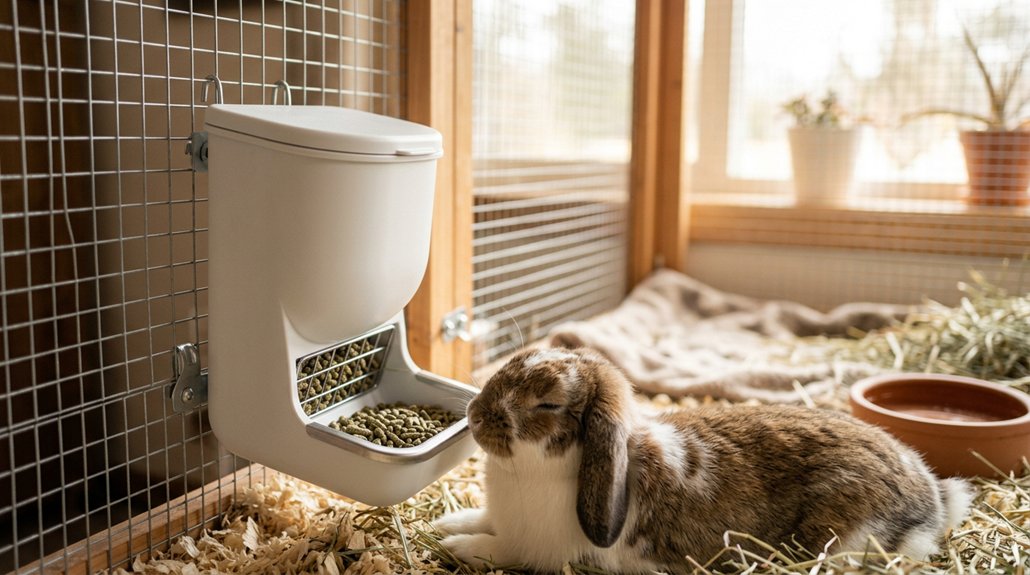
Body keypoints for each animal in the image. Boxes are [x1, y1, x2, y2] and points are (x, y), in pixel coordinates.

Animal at [433, 347, 974, 573]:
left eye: (546, 404)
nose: (475, 415)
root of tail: (933, 501)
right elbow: (482, 519)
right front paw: (448, 523)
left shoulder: (542, 551)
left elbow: (501, 550)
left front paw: (458, 546)